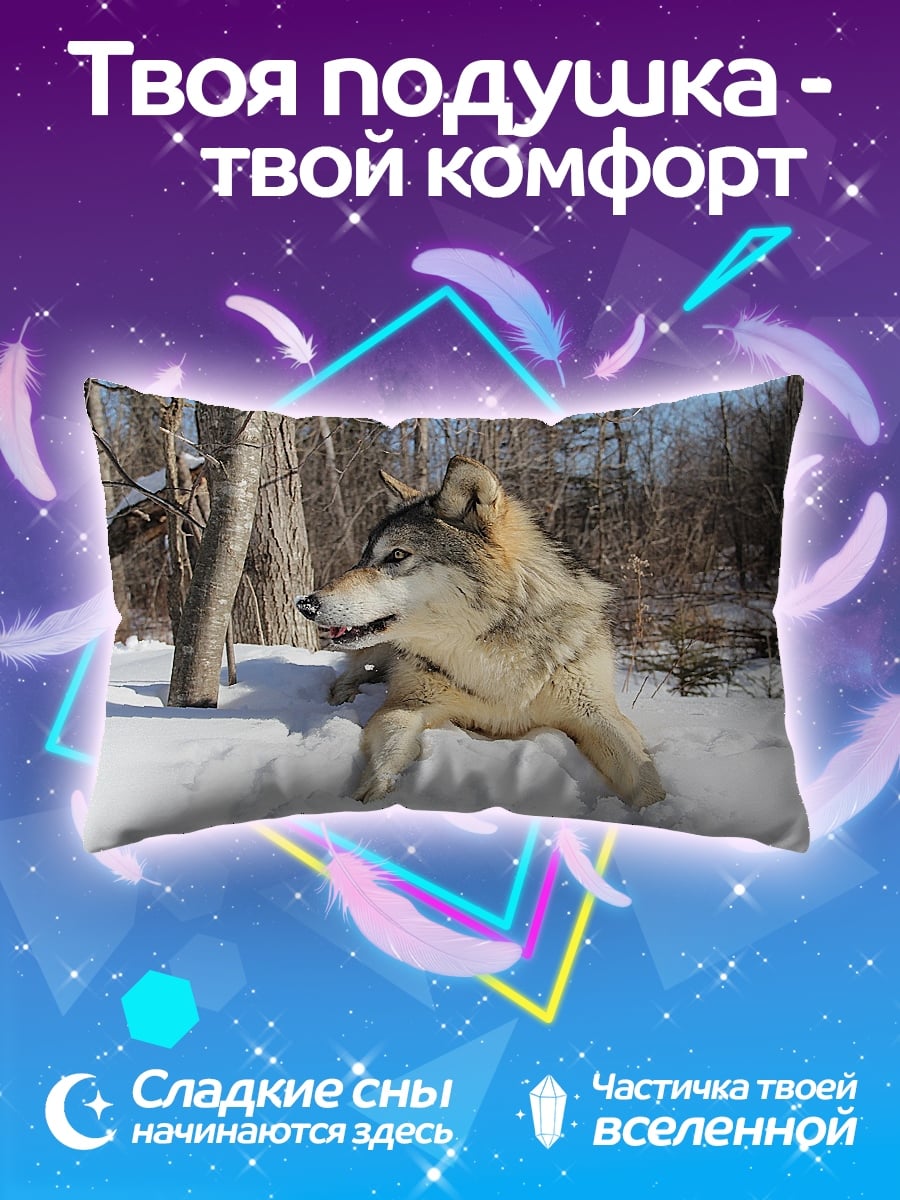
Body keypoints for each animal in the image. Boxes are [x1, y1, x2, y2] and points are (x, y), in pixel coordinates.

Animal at [296, 456, 665, 809]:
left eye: (397, 555)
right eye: (363, 557)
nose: (305, 604)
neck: (491, 648)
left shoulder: (598, 713)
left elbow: (644, 775)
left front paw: (658, 813)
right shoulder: (407, 702)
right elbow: (392, 746)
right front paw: (370, 798)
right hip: (375, 652)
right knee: (346, 677)